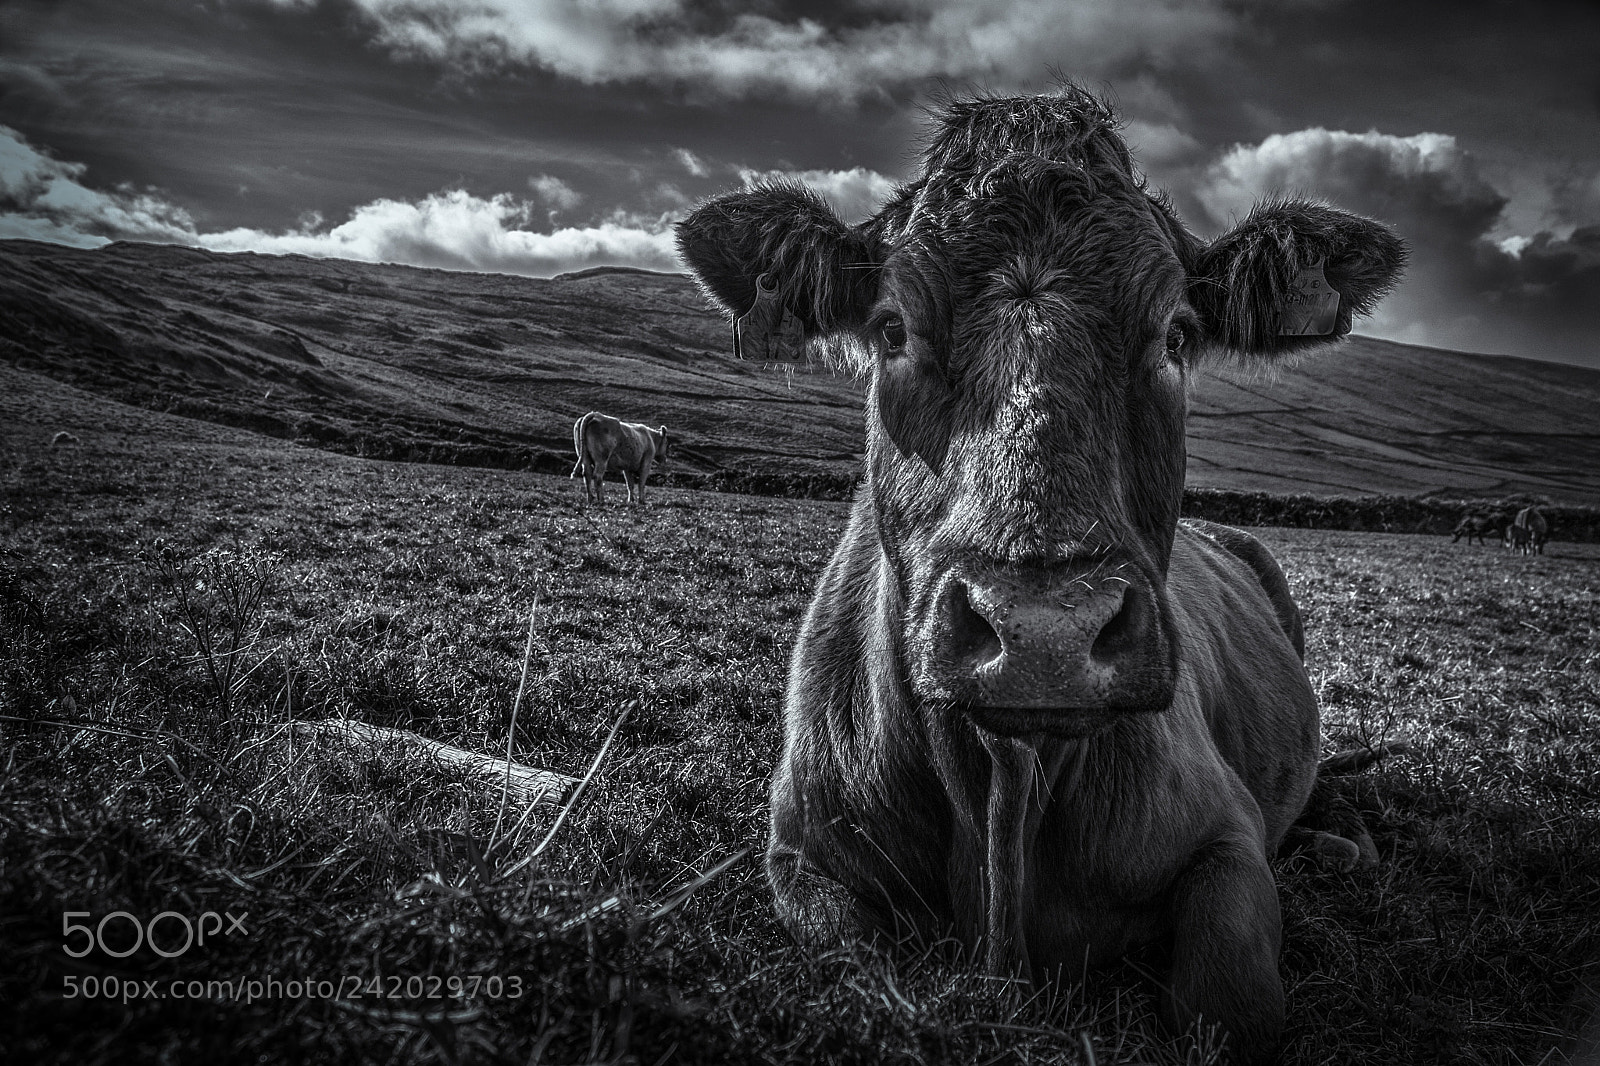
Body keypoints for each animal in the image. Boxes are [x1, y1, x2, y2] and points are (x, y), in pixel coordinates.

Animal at [676, 87, 1405, 1063]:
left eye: (1177, 335)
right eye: (892, 328)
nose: (1043, 634)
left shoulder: (1228, 840)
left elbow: (1231, 1006)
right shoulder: (803, 857)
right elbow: (855, 967)